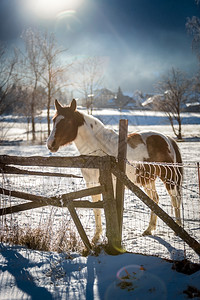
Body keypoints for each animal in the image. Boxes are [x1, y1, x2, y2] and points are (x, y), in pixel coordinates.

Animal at [47, 99, 183, 243]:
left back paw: (178, 229)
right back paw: (149, 229)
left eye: (67, 122)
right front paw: (96, 237)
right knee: (154, 200)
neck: (98, 150)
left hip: (169, 178)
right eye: (54, 120)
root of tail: (167, 138)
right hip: (147, 180)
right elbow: (96, 209)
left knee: (175, 200)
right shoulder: (92, 184)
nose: (50, 144)